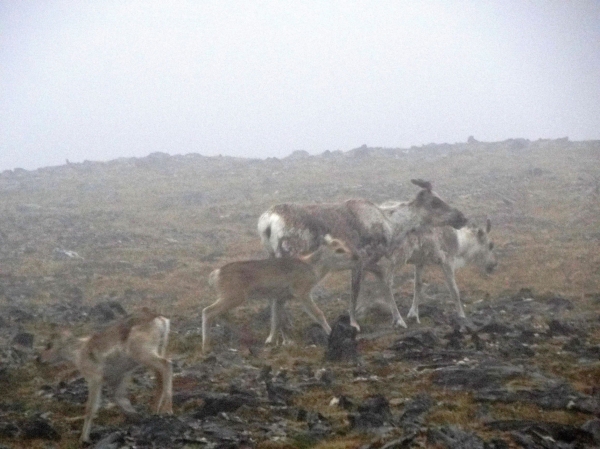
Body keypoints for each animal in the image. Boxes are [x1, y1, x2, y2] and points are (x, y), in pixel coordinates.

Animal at [39, 308, 172, 440]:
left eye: (49, 344)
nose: (38, 359)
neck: (78, 351)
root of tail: (159, 318)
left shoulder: (94, 379)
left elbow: (90, 408)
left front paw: (83, 438)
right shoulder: (119, 377)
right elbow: (120, 399)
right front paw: (135, 416)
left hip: (143, 353)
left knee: (167, 365)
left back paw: (167, 409)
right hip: (157, 351)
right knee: (160, 377)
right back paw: (155, 410)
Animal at [204, 234, 358, 354]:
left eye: (345, 244)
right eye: (338, 250)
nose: (356, 256)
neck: (313, 269)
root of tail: (215, 275)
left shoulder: (279, 298)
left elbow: (276, 320)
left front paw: (272, 341)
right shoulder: (302, 292)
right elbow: (318, 313)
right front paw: (330, 333)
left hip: (230, 297)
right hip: (234, 296)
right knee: (207, 311)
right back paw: (205, 346)